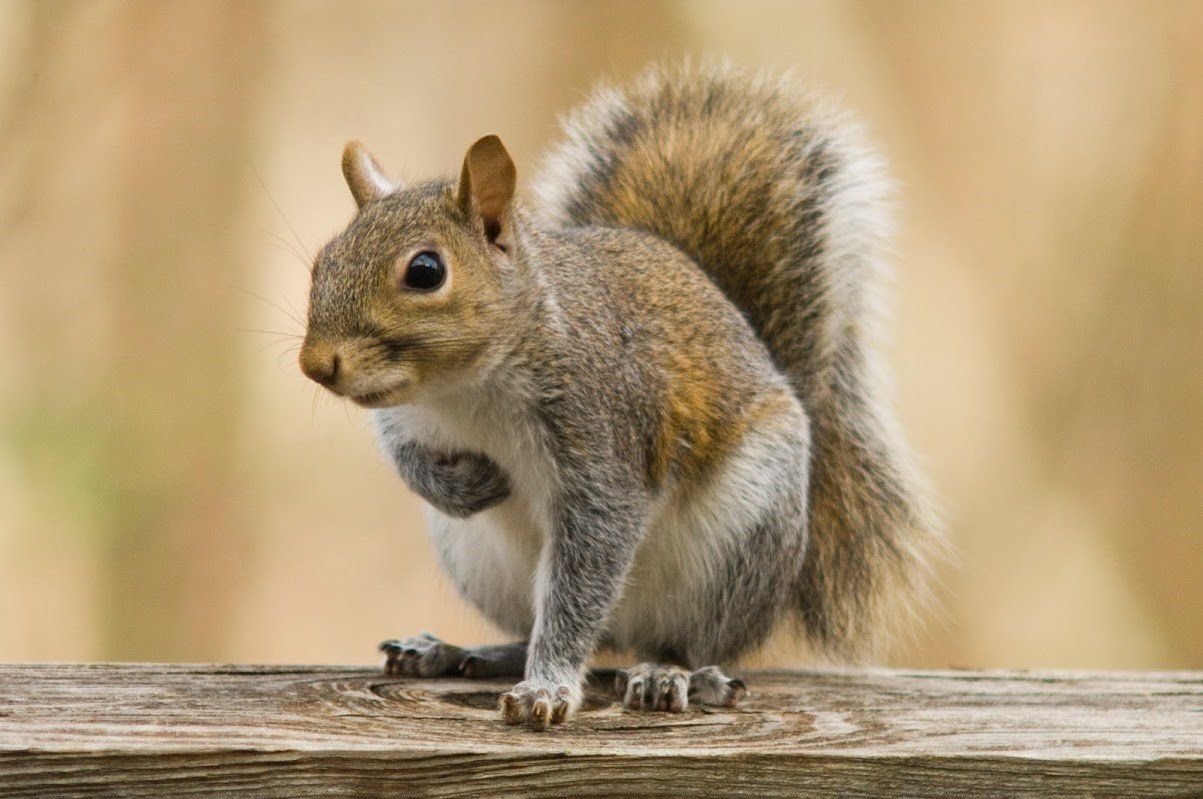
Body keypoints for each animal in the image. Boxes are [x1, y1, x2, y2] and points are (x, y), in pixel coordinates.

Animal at [298, 64, 938, 731]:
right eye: (324, 260)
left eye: (425, 271)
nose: (315, 364)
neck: (463, 389)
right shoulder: (406, 415)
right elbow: (408, 460)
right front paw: (466, 484)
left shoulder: (602, 437)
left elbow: (587, 566)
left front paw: (548, 689)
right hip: (478, 559)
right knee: (548, 630)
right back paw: (455, 651)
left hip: (742, 538)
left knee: (682, 641)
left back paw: (671, 674)